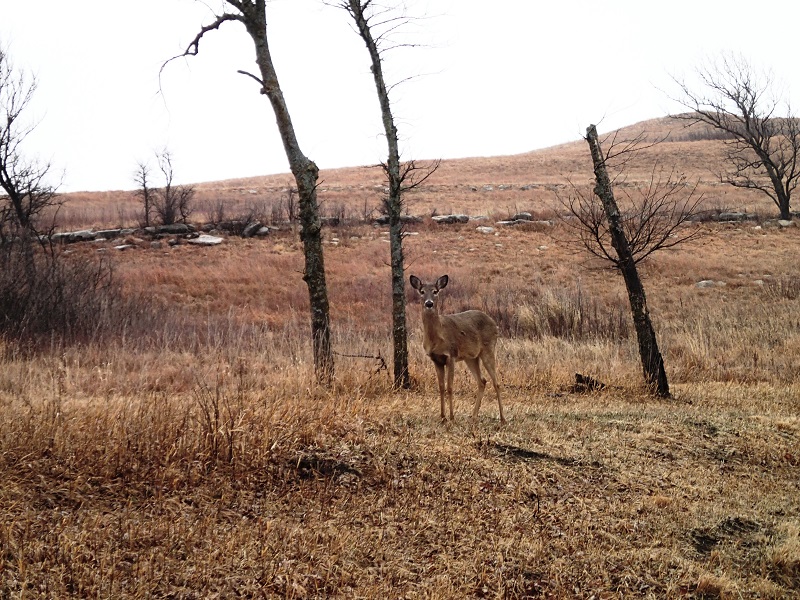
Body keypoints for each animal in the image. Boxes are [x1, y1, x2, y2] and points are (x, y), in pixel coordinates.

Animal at [409, 274, 506, 424]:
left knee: (497, 383)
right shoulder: (436, 359)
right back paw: (473, 416)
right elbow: (441, 387)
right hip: (471, 357)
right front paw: (442, 417)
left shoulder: (451, 355)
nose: (429, 303)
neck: (438, 337)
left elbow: (449, 387)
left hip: (488, 349)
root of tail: (494, 324)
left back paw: (502, 419)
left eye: (435, 291)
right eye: (422, 291)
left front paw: (452, 417)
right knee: (482, 381)